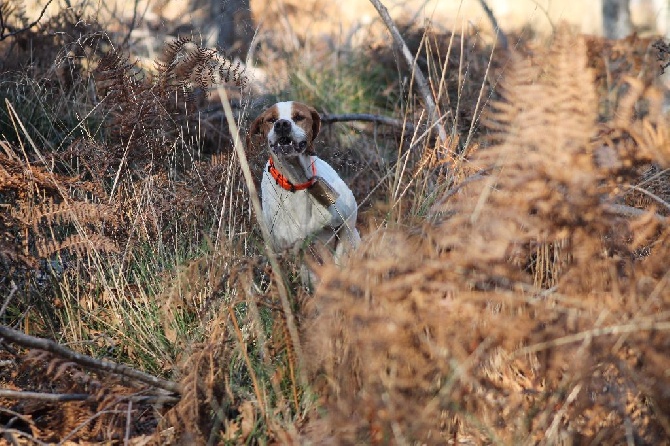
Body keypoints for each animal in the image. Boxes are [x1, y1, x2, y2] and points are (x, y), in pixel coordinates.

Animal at [248, 100, 362, 262]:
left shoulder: (348, 222)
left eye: (299, 117)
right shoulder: (286, 248)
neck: (297, 181)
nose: (281, 124)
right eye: (271, 119)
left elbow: (339, 258)